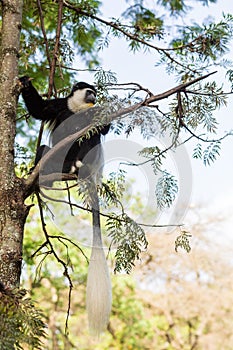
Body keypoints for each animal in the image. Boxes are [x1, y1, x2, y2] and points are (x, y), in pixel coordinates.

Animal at [19, 76, 112, 334]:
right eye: (89, 91)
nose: (94, 97)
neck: (79, 109)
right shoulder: (60, 106)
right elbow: (40, 109)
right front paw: (24, 82)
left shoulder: (90, 114)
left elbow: (101, 129)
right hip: (53, 160)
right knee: (44, 150)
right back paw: (41, 175)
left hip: (86, 158)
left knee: (90, 138)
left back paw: (77, 164)